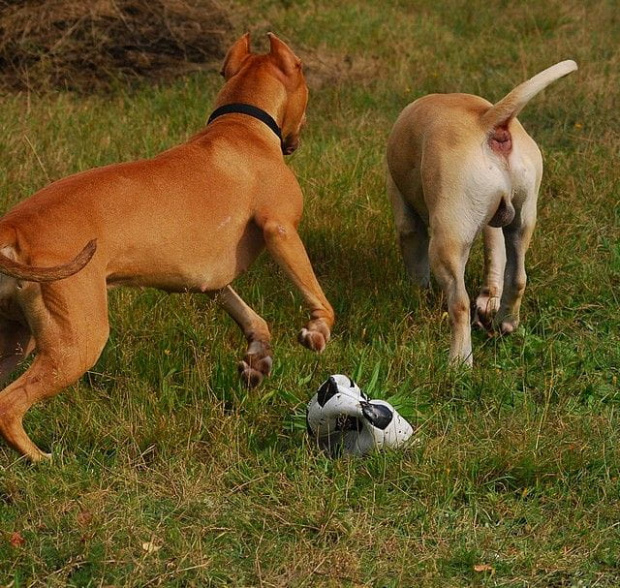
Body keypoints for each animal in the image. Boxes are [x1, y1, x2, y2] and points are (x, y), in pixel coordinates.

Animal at [0, 32, 334, 462]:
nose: (297, 139)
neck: (241, 125)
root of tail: (14, 226)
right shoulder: (281, 230)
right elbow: (316, 294)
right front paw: (317, 329)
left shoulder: (210, 282)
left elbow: (251, 318)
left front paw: (257, 360)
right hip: (76, 343)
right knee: (9, 404)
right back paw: (39, 458)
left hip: (15, 339)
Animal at [388, 59, 576, 362]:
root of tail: (489, 121)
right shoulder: (494, 223)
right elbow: (495, 255)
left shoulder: (405, 215)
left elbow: (416, 261)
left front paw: (417, 297)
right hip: (521, 222)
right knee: (518, 276)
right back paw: (505, 322)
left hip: (448, 241)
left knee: (460, 303)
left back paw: (459, 361)